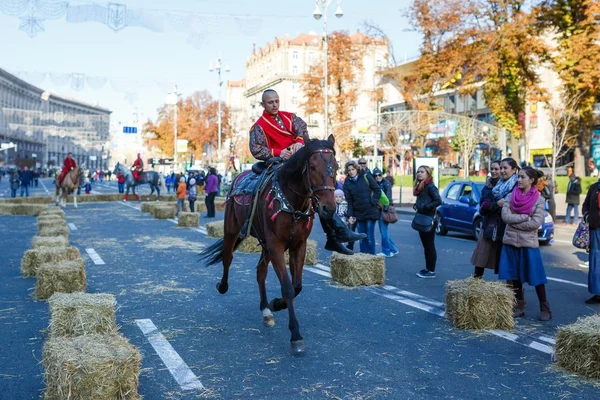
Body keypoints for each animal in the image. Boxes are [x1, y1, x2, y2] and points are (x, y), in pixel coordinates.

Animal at [200, 133, 338, 354]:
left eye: (337, 166)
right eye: (313, 167)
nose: (329, 208)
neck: (292, 203)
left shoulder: (298, 245)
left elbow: (296, 286)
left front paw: (276, 304)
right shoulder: (276, 246)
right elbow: (288, 288)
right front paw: (295, 335)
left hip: (264, 244)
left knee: (260, 271)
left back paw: (266, 310)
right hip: (232, 231)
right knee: (227, 257)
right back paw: (222, 286)